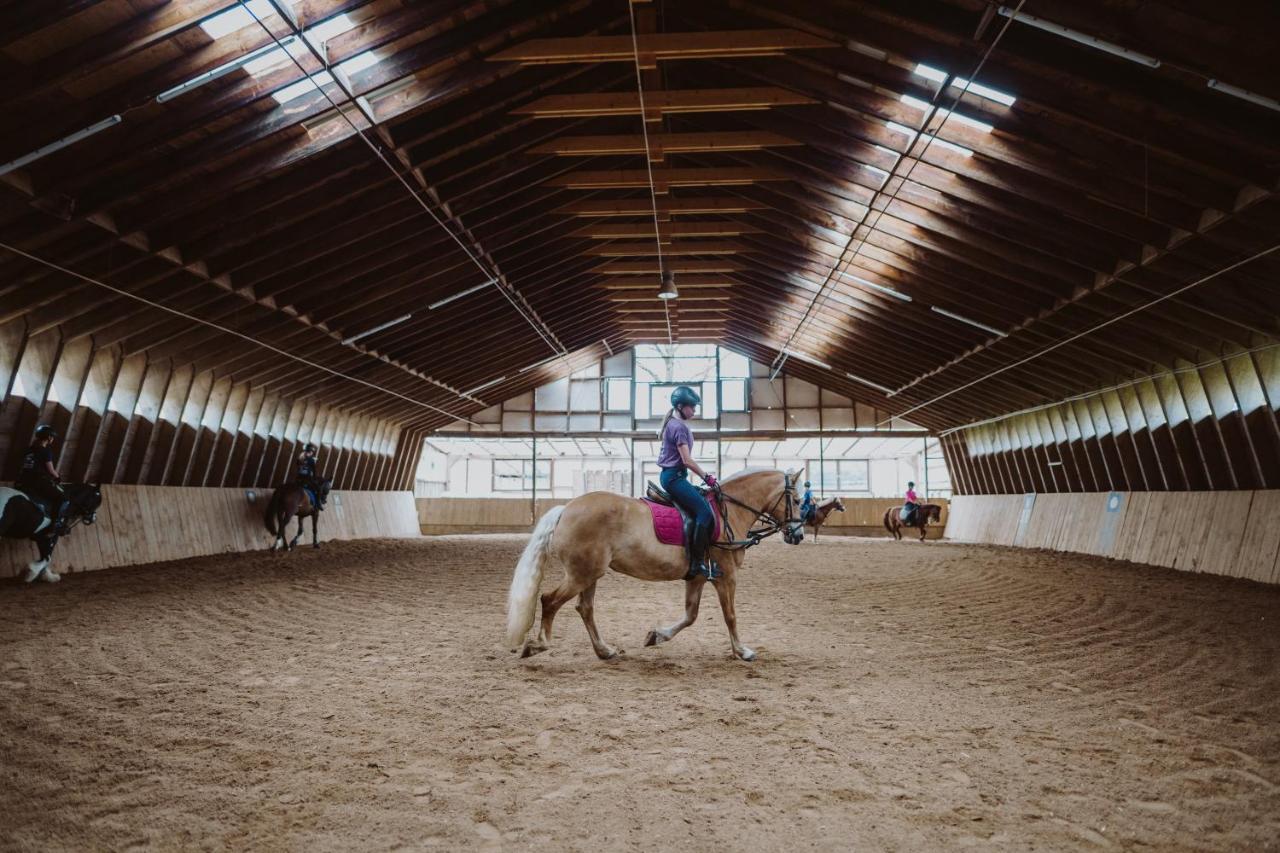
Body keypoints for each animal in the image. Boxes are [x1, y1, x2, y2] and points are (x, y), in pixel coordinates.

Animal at [506, 468, 798, 660]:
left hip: (590, 574)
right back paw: (539, 645)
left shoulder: (697, 577)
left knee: (584, 608)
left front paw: (656, 636)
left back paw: (604, 651)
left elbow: (691, 615)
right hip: (581, 574)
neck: (730, 511)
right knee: (550, 600)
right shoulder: (726, 576)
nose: (797, 535)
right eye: (796, 500)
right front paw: (742, 651)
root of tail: (565, 509)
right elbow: (730, 615)